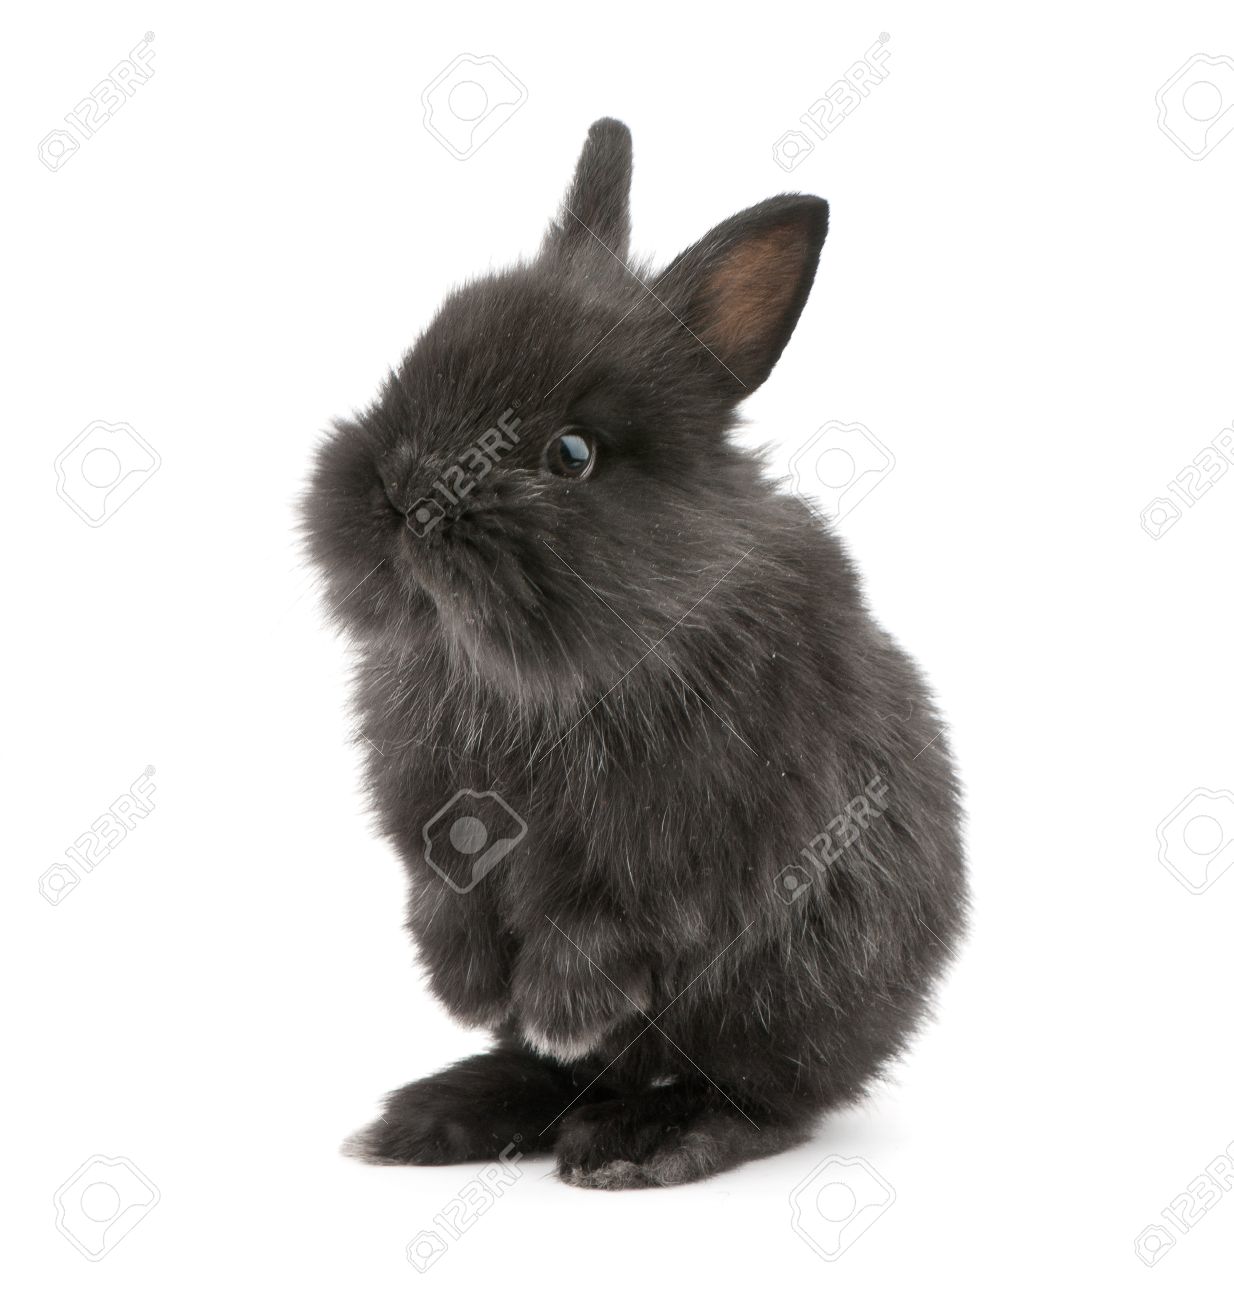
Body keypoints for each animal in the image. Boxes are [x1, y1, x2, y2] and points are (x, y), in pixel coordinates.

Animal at [303, 117, 966, 1190]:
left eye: (572, 455)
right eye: (412, 368)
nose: (404, 497)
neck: (518, 671)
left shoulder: (696, 836)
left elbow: (614, 919)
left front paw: (561, 1007)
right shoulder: (423, 804)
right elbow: (439, 880)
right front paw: (468, 992)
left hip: (790, 1001)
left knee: (753, 1095)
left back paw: (636, 1140)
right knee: (570, 1080)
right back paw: (440, 1116)